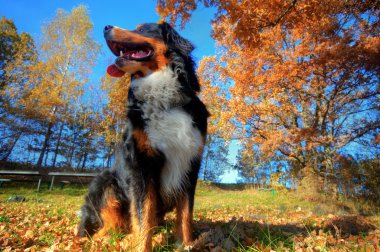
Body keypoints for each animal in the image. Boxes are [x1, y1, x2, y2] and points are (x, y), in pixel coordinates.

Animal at [77, 22, 208, 252]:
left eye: (142, 29)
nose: (106, 27)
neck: (163, 98)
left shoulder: (190, 164)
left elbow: (185, 215)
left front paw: (185, 245)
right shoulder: (140, 165)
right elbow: (143, 214)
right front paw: (141, 246)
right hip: (106, 182)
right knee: (106, 230)